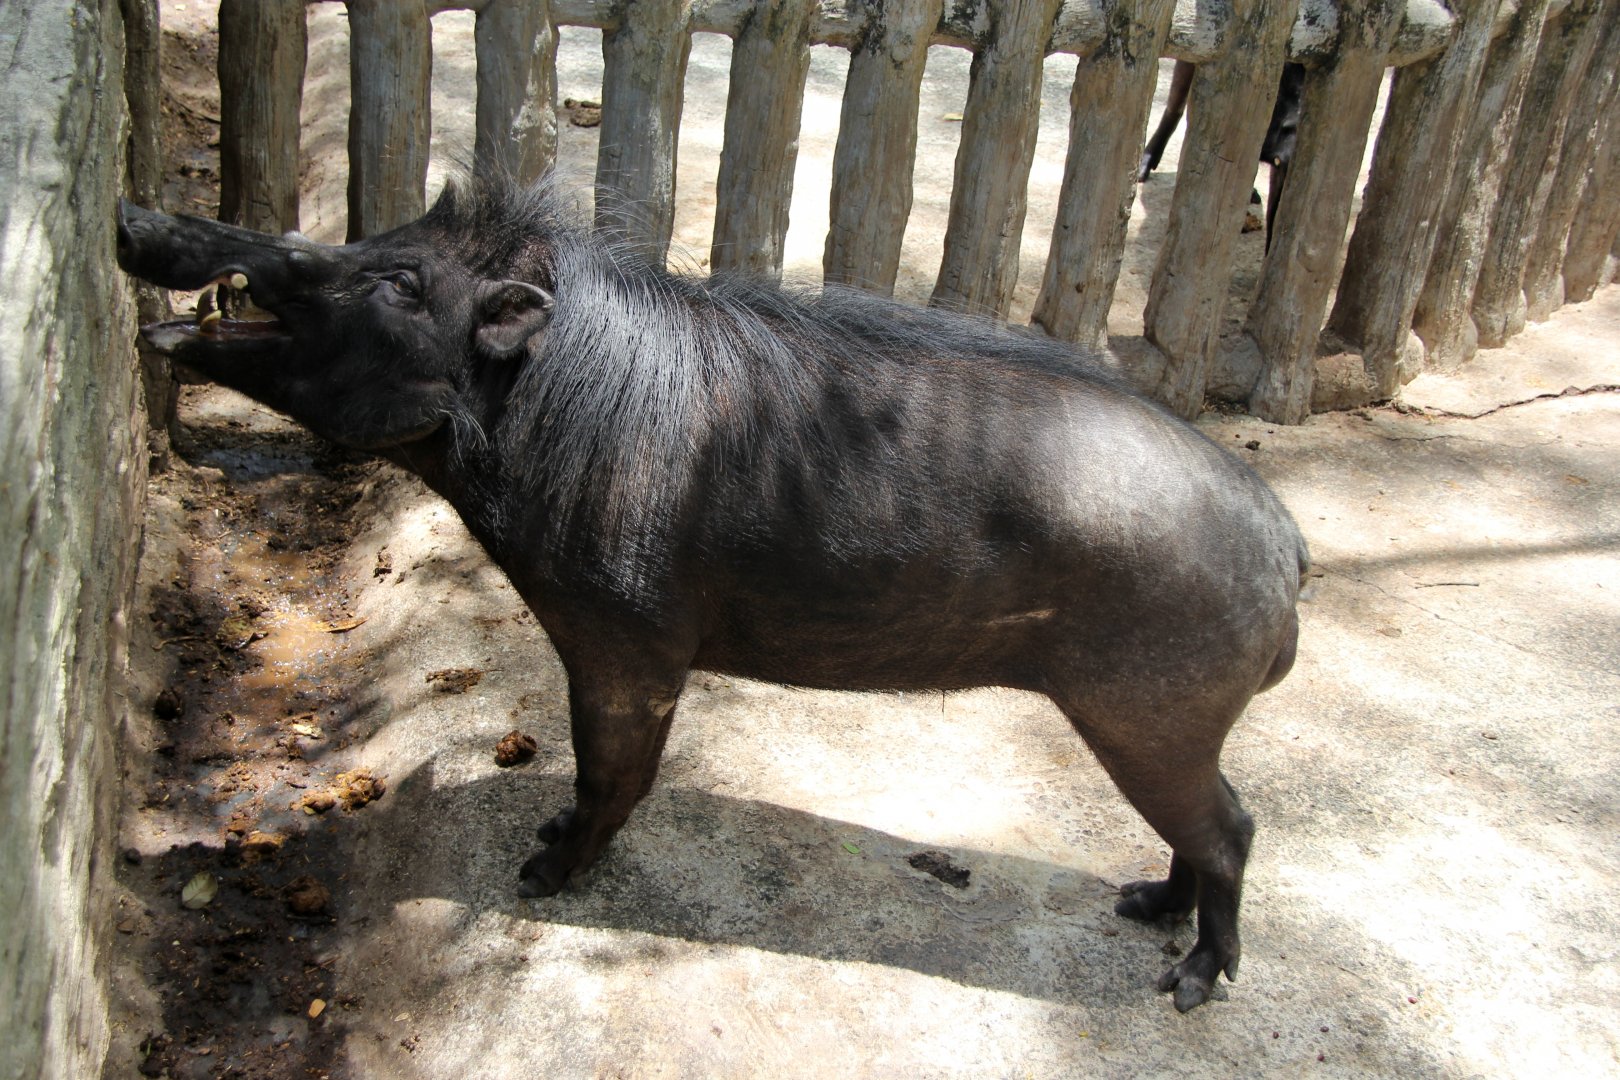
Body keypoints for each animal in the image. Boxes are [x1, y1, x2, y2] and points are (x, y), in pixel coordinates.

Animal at [116, 174, 1308, 1011]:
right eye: (377, 239)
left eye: (402, 282)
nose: (134, 216)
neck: (534, 415)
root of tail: (1283, 540)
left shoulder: (628, 641)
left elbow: (613, 774)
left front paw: (540, 872)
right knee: (1208, 831)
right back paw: (1143, 907)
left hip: (1151, 711)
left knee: (1235, 828)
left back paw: (1187, 982)